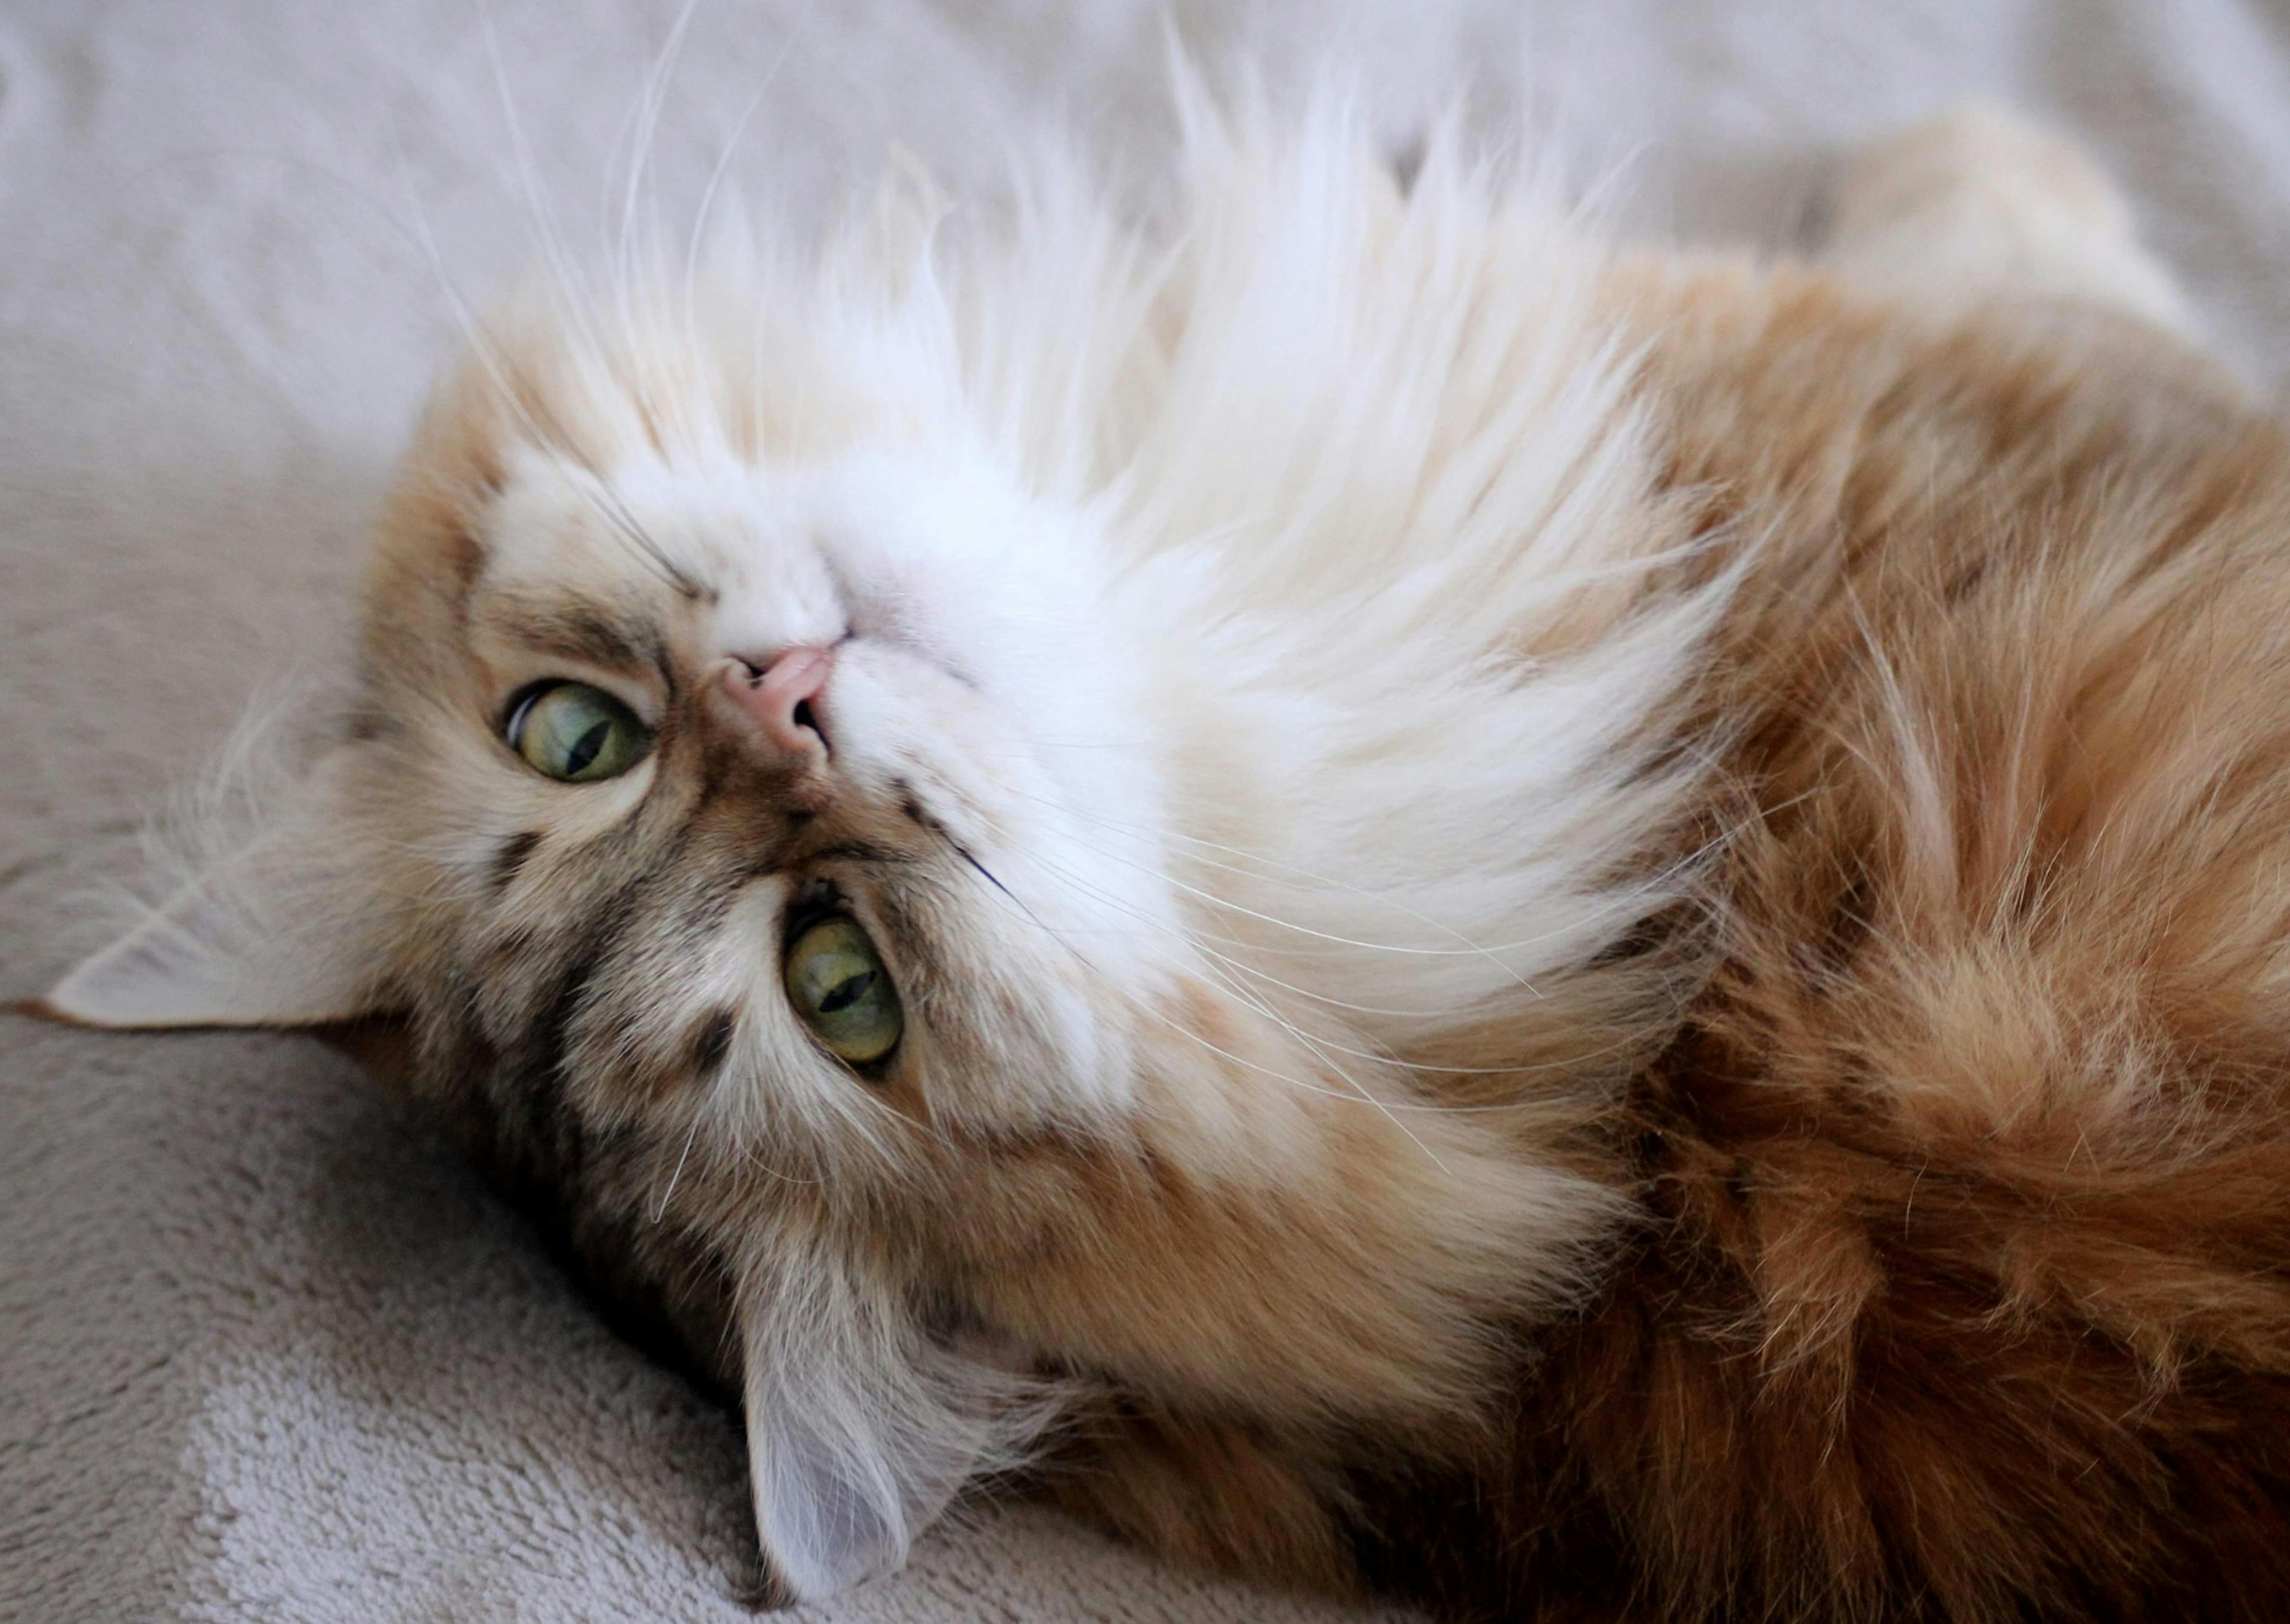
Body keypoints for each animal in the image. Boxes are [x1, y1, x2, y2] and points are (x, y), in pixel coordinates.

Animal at [40, 85, 2290, 1622]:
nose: (786, 699)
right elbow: (2014, 224)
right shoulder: (2018, 368)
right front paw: (1954, 139)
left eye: (569, 736)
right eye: (840, 988)